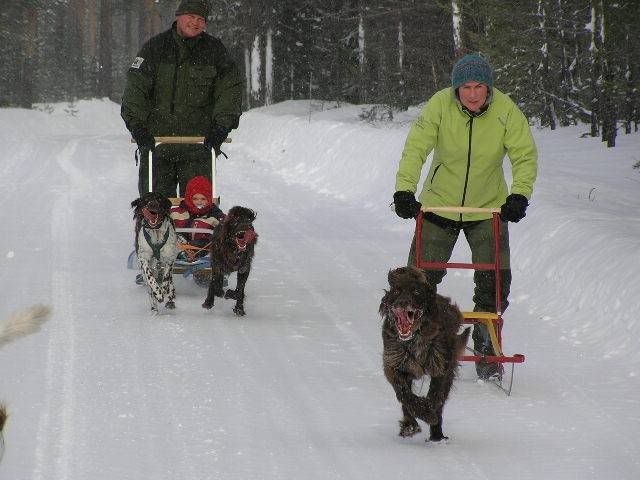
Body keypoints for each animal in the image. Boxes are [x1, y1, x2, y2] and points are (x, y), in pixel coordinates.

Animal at [380, 266, 470, 442]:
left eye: (416, 291)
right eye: (397, 291)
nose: (402, 303)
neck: (414, 338)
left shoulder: (441, 367)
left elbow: (435, 396)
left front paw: (430, 414)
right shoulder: (394, 365)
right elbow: (405, 395)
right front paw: (417, 420)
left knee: (440, 400)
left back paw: (437, 435)